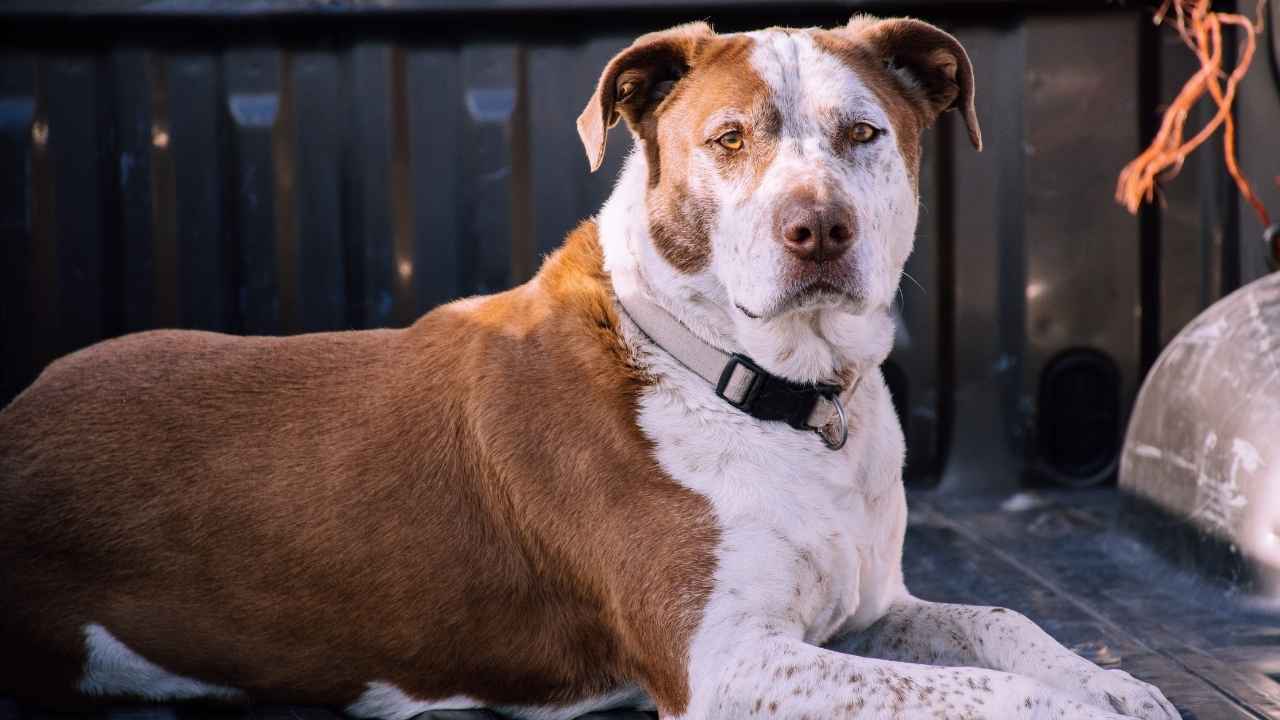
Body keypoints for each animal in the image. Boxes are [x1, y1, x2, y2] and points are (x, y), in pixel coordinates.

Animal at [2, 12, 1177, 717]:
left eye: (861, 134)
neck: (764, 388)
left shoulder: (865, 607)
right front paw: (1082, 702)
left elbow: (1000, 625)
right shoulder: (727, 663)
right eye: (728, 139)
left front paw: (1115, 687)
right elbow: (981, 692)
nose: (818, 230)